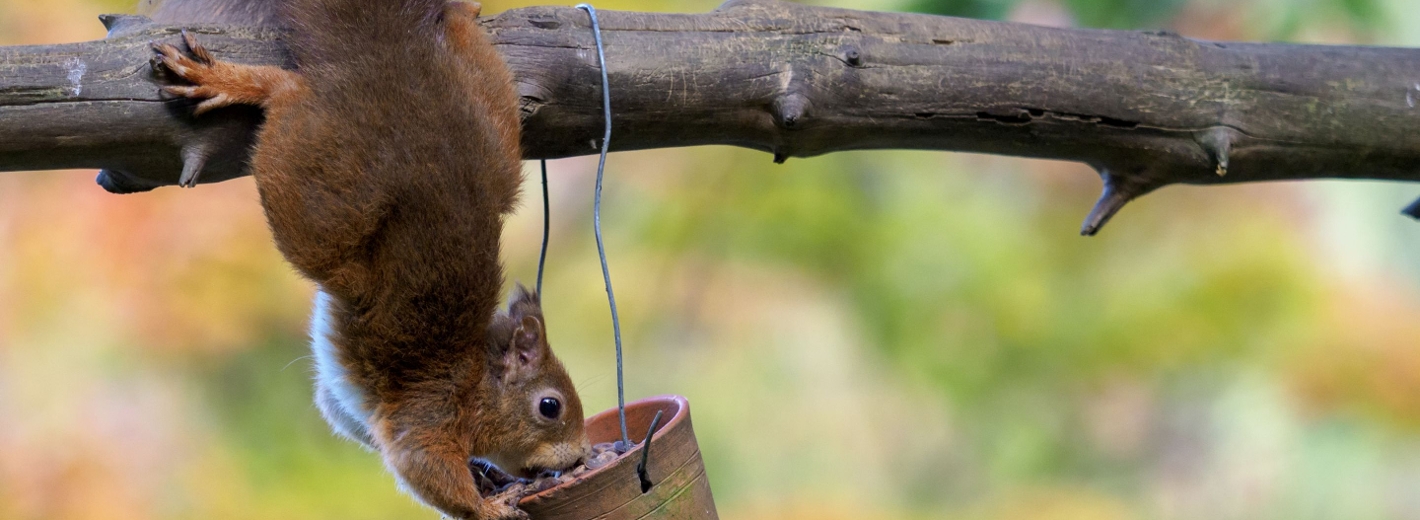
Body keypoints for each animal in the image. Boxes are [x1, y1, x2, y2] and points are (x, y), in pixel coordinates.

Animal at [148, 0, 591, 518]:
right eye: (550, 406)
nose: (579, 456)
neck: (478, 381)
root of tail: (394, 66)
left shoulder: (353, 408)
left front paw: (488, 478)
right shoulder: (431, 411)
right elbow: (422, 463)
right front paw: (488, 508)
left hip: (492, 121)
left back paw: (463, 11)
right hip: (320, 181)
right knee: (286, 94)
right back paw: (234, 81)